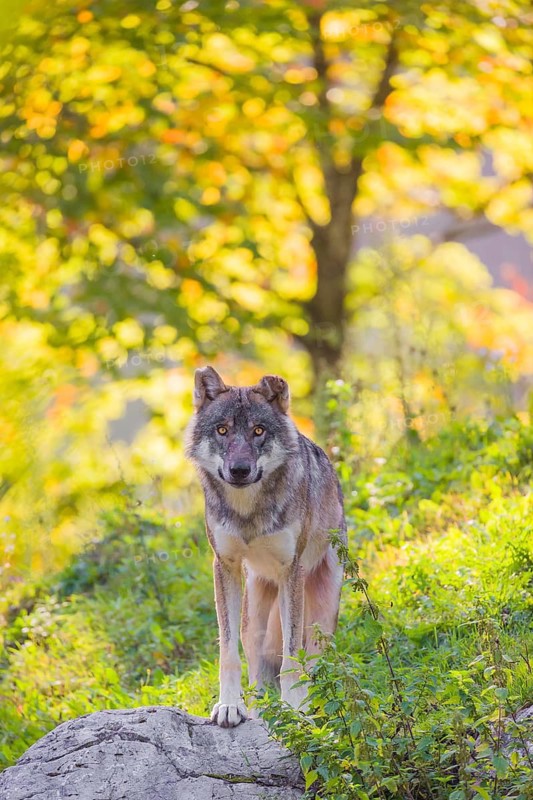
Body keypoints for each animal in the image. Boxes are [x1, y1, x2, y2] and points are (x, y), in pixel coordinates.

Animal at [185, 366, 346, 727]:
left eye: (258, 431)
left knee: (311, 662)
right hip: (254, 616)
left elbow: (291, 659)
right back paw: (257, 713)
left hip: (322, 614)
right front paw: (229, 706)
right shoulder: (224, 566)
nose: (239, 470)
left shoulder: (292, 572)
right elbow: (228, 654)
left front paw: (295, 712)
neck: (248, 510)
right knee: (257, 673)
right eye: (222, 430)